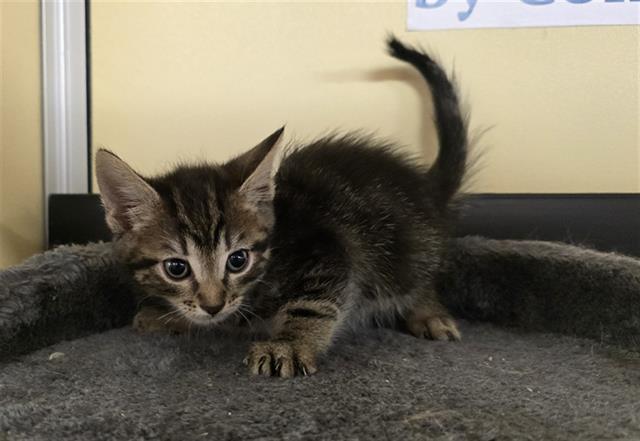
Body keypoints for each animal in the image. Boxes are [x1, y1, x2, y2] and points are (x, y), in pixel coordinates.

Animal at [97, 36, 470, 376]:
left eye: (238, 260)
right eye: (176, 268)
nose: (213, 304)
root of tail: (424, 185)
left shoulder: (326, 250)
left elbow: (311, 304)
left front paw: (288, 345)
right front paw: (171, 317)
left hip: (402, 253)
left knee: (419, 277)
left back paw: (429, 313)